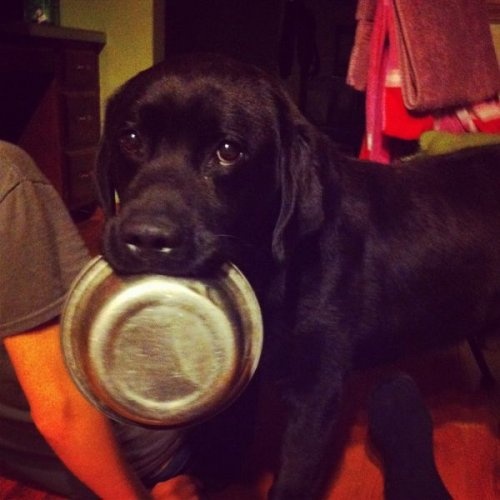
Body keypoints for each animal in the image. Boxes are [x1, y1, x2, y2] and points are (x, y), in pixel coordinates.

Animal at [95, 53, 500, 499]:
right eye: (130, 139)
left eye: (228, 151)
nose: (147, 238)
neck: (269, 270)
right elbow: (231, 439)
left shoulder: (316, 392)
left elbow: (292, 477)